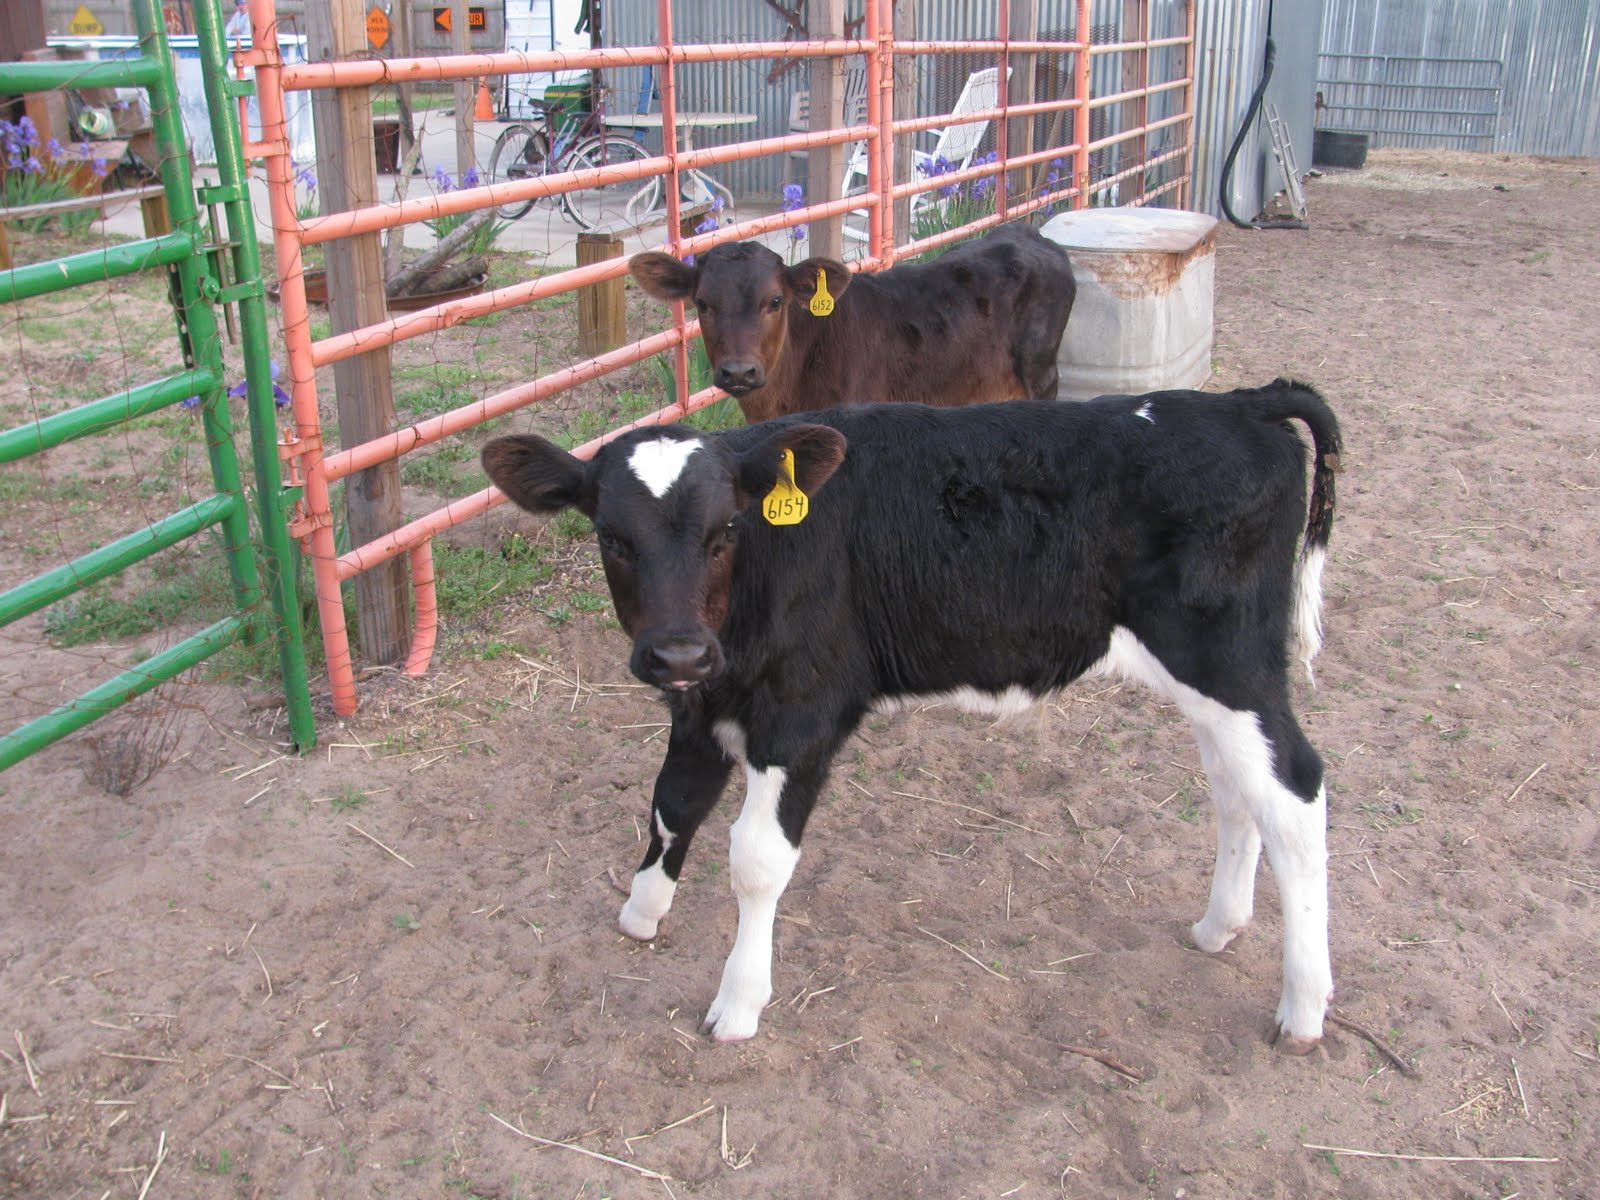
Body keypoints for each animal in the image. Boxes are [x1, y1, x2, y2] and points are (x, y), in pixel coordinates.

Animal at [481, 379, 1343, 1053]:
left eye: (726, 529)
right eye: (611, 537)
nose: (679, 651)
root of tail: (1242, 402)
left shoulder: (802, 714)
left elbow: (756, 860)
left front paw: (738, 1001)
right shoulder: (702, 707)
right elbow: (672, 805)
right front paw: (642, 911)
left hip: (1229, 663)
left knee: (1296, 793)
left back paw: (1303, 1009)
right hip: (1214, 681)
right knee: (1237, 792)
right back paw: (1219, 927)